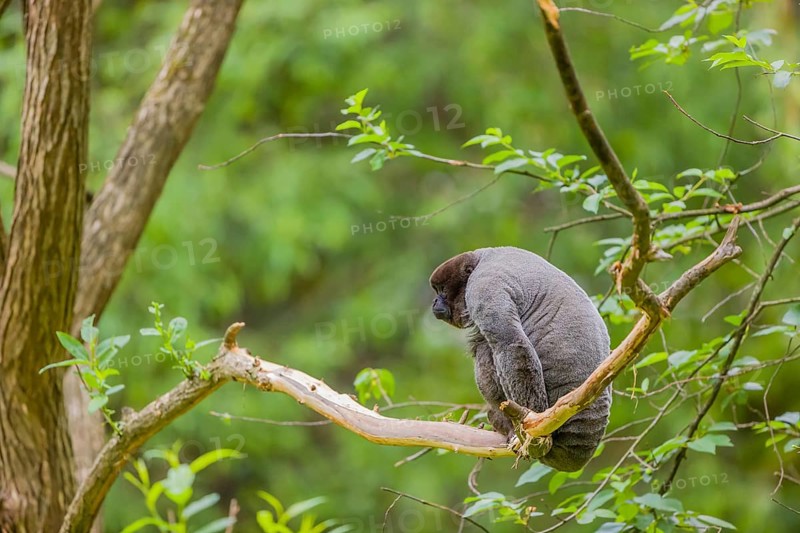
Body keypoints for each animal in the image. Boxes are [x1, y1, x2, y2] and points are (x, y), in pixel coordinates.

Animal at [429, 246, 611, 472]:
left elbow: (512, 344)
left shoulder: (484, 287)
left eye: (441, 290)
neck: (482, 258)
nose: (434, 301)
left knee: (489, 348)